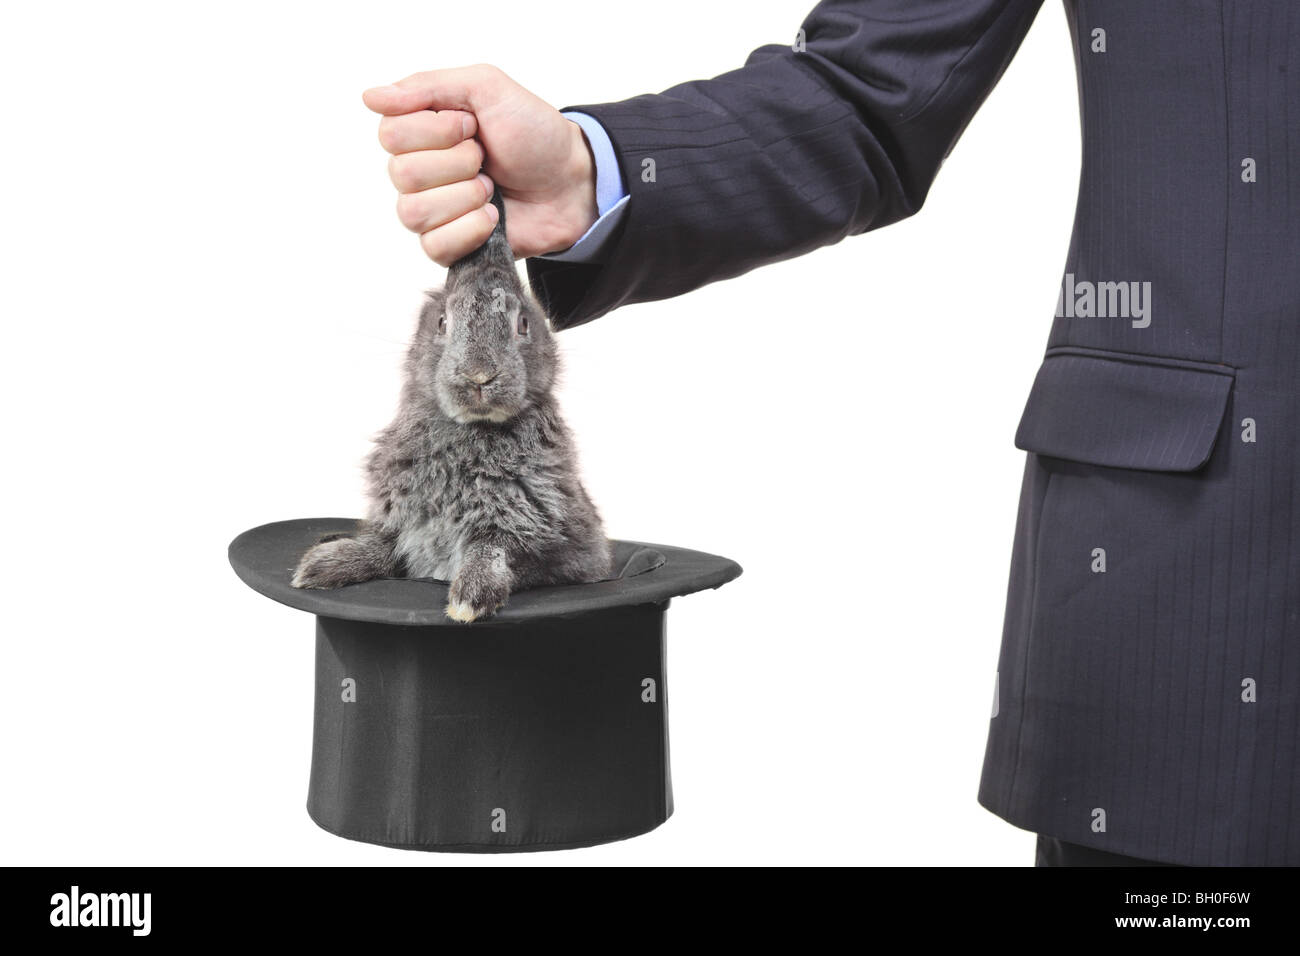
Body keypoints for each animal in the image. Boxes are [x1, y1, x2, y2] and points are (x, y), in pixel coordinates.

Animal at [290, 191, 613, 622]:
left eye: (523, 325)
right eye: (442, 322)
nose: (479, 376)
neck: (472, 430)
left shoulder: (549, 541)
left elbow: (493, 549)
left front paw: (468, 600)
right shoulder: (404, 522)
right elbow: (384, 547)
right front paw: (321, 566)